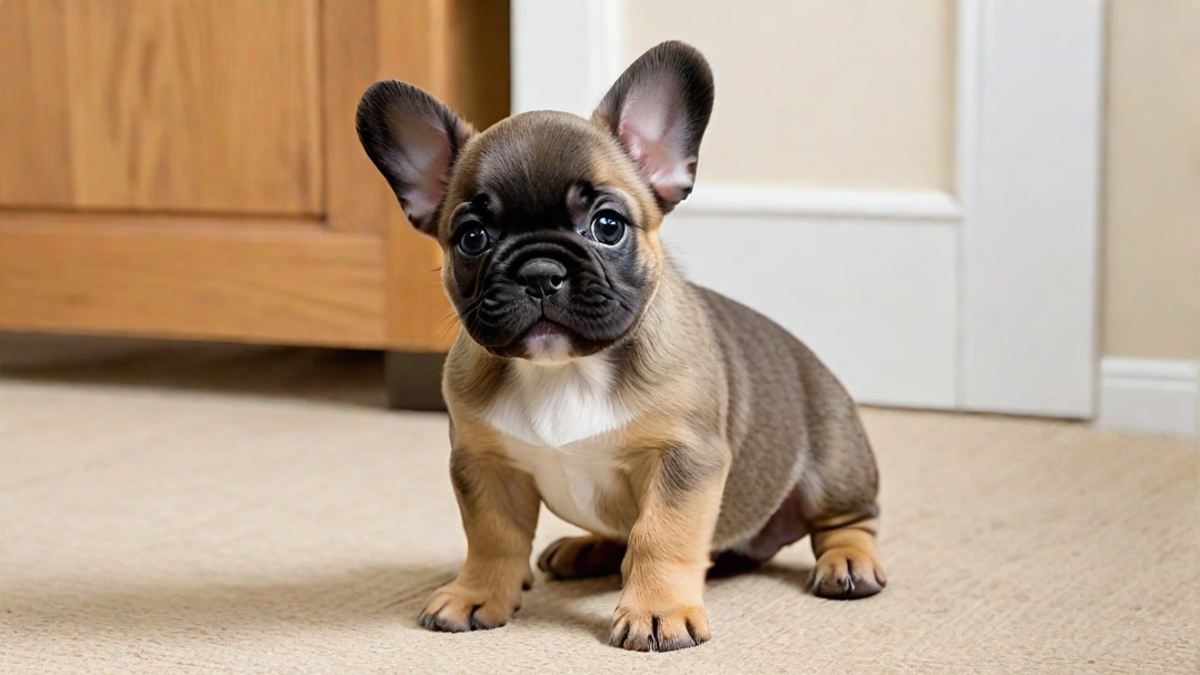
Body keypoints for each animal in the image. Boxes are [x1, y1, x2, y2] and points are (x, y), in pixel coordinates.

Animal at [352, 39, 883, 648]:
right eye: (472, 238)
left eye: (608, 226)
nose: (540, 271)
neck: (565, 369)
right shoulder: (485, 463)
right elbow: (492, 538)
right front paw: (476, 594)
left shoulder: (683, 458)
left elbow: (660, 536)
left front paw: (657, 610)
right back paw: (586, 550)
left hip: (833, 464)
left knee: (848, 520)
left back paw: (848, 562)